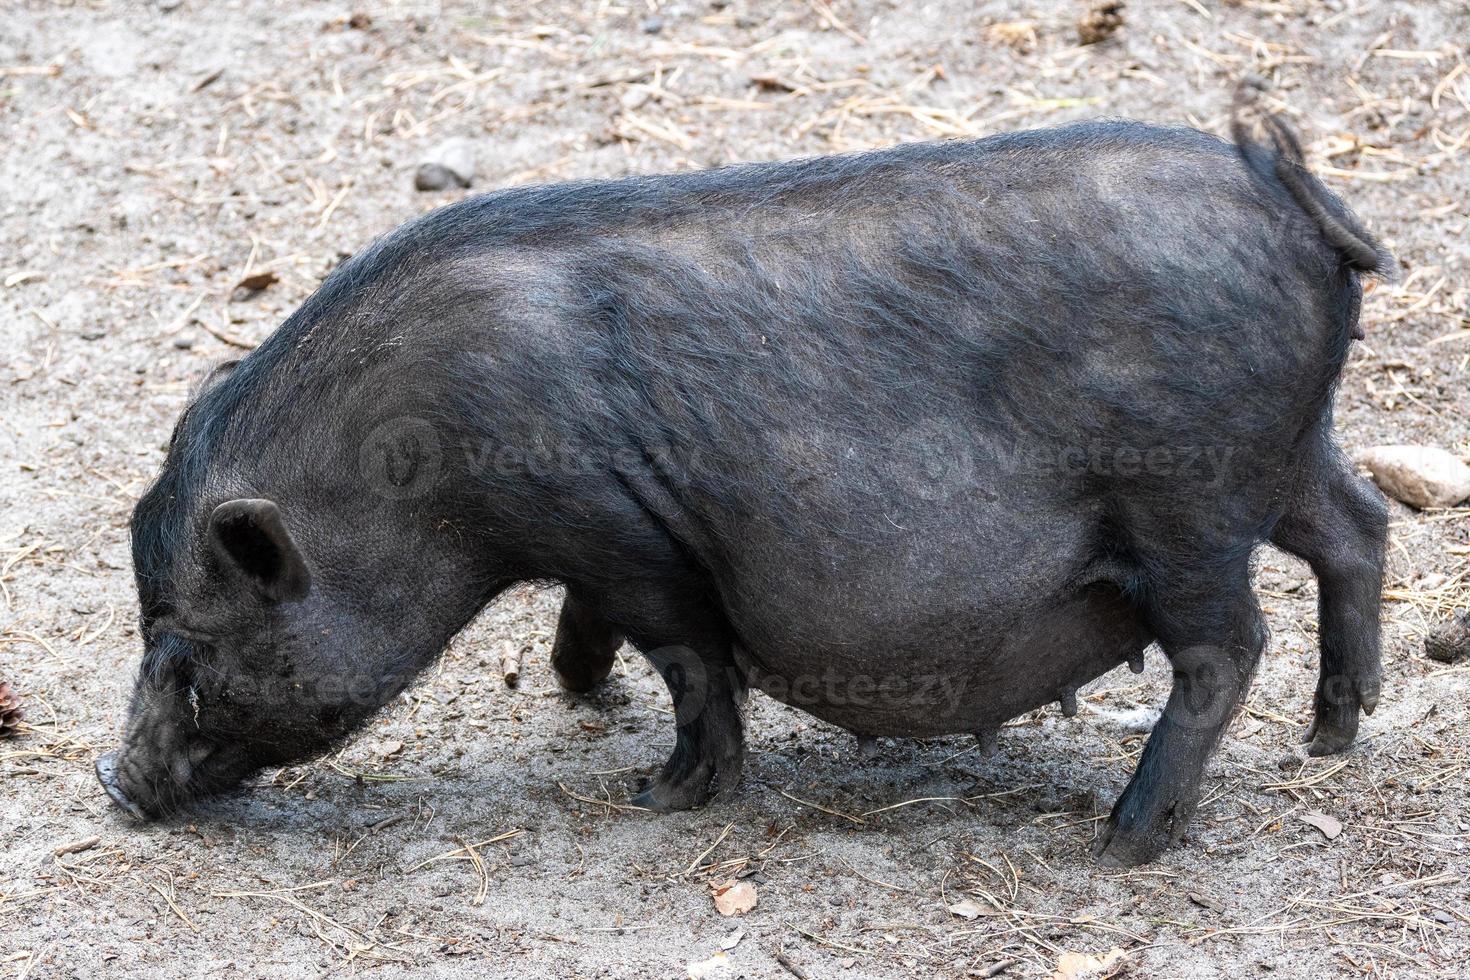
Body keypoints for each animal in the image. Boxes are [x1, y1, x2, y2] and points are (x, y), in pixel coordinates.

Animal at [97, 88, 1381, 869]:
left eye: (186, 646)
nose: (112, 778)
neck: (431, 469)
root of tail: (1289, 196)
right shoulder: (596, 538)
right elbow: (598, 626)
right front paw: (583, 698)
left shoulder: (623, 536)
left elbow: (689, 656)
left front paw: (659, 794)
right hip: (1288, 451)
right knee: (1356, 528)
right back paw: (1334, 735)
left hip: (1189, 501)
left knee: (1226, 645)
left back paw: (1124, 836)